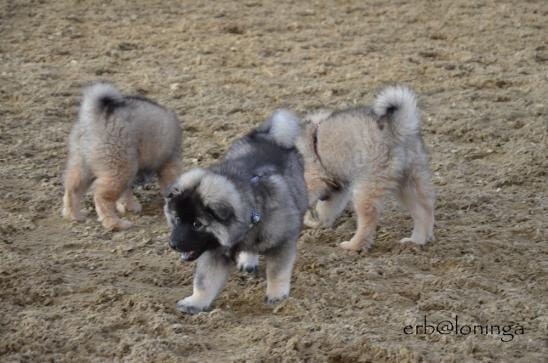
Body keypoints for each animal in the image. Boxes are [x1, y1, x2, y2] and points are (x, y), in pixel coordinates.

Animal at [61, 83, 182, 230]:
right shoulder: (170, 163)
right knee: (101, 198)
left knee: (72, 190)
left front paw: (128, 206)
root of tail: (96, 116)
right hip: (119, 167)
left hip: (83, 165)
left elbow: (126, 192)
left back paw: (74, 215)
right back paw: (115, 223)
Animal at [163, 109, 308, 314]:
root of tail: (266, 134)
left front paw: (277, 295)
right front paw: (195, 302)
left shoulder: (282, 243)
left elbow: (277, 272)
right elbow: (204, 281)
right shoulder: (214, 253)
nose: (173, 244)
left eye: (197, 224)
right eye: (176, 218)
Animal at [298, 85, 434, 250]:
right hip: (409, 181)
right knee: (424, 209)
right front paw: (314, 222)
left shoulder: (314, 179)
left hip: (367, 187)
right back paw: (417, 240)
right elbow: (325, 209)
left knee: (368, 219)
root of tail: (396, 129)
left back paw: (353, 245)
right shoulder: (336, 188)